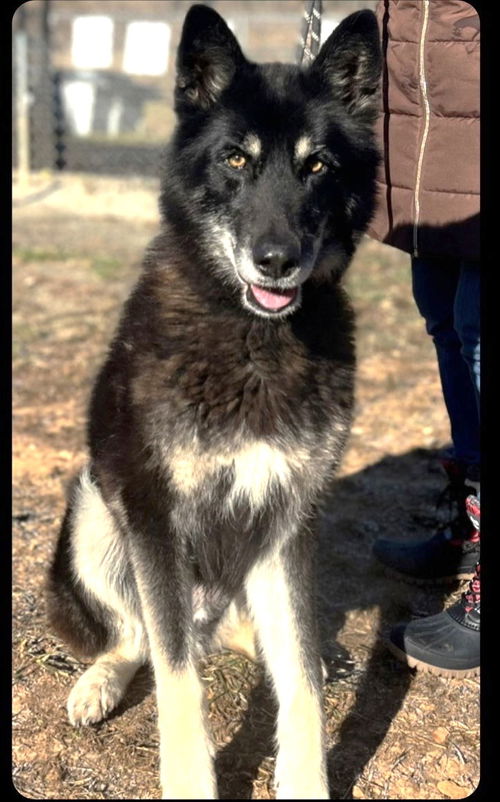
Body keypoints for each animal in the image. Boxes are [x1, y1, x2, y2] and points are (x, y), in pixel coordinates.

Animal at [48, 6, 380, 792]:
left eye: (317, 166)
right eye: (235, 160)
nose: (277, 260)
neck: (252, 335)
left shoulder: (288, 518)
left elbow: (299, 680)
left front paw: (307, 781)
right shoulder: (153, 515)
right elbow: (177, 680)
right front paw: (191, 781)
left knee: (258, 637)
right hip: (94, 514)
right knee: (139, 637)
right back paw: (99, 681)